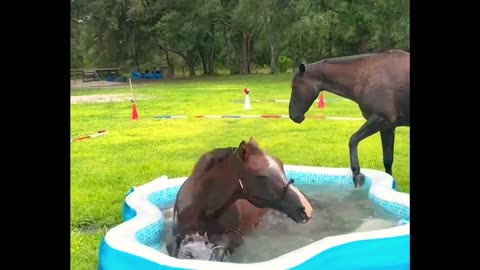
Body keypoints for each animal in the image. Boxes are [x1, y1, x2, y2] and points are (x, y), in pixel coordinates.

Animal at [286, 50, 410, 190]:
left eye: (294, 86)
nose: (293, 115)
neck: (368, 77)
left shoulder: (380, 119)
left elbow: (353, 140)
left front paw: (357, 174)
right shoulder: (387, 127)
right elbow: (388, 160)